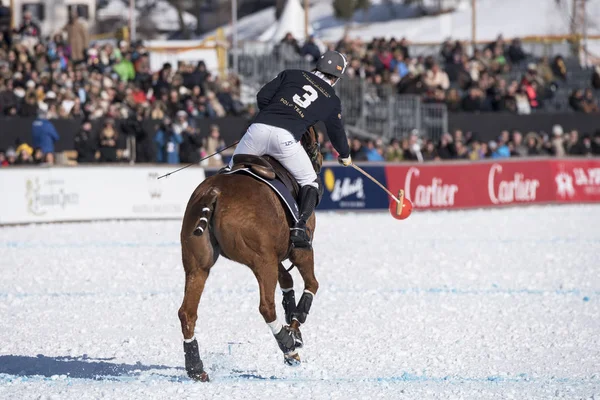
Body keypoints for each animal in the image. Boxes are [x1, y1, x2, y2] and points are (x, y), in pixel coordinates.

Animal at [178, 128, 324, 382]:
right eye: (315, 140)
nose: (321, 160)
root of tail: (214, 193)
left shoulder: (275, 252)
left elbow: (287, 278)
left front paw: (292, 321)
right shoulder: (299, 250)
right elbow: (312, 284)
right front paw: (295, 331)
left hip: (198, 263)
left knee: (187, 312)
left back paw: (196, 368)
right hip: (261, 261)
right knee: (266, 306)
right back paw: (288, 347)